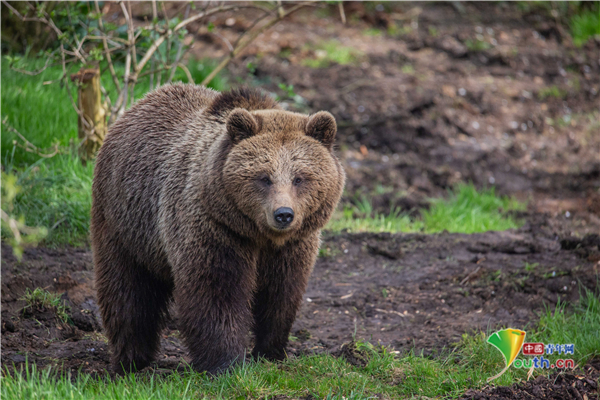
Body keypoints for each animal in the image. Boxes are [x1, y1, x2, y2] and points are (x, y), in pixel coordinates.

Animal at [92, 85, 346, 376]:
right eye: (264, 177)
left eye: (299, 178)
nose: (283, 214)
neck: (259, 235)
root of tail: (140, 104)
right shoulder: (215, 229)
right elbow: (216, 292)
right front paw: (225, 363)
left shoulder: (293, 246)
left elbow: (281, 295)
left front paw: (271, 351)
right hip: (125, 222)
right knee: (127, 290)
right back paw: (131, 359)